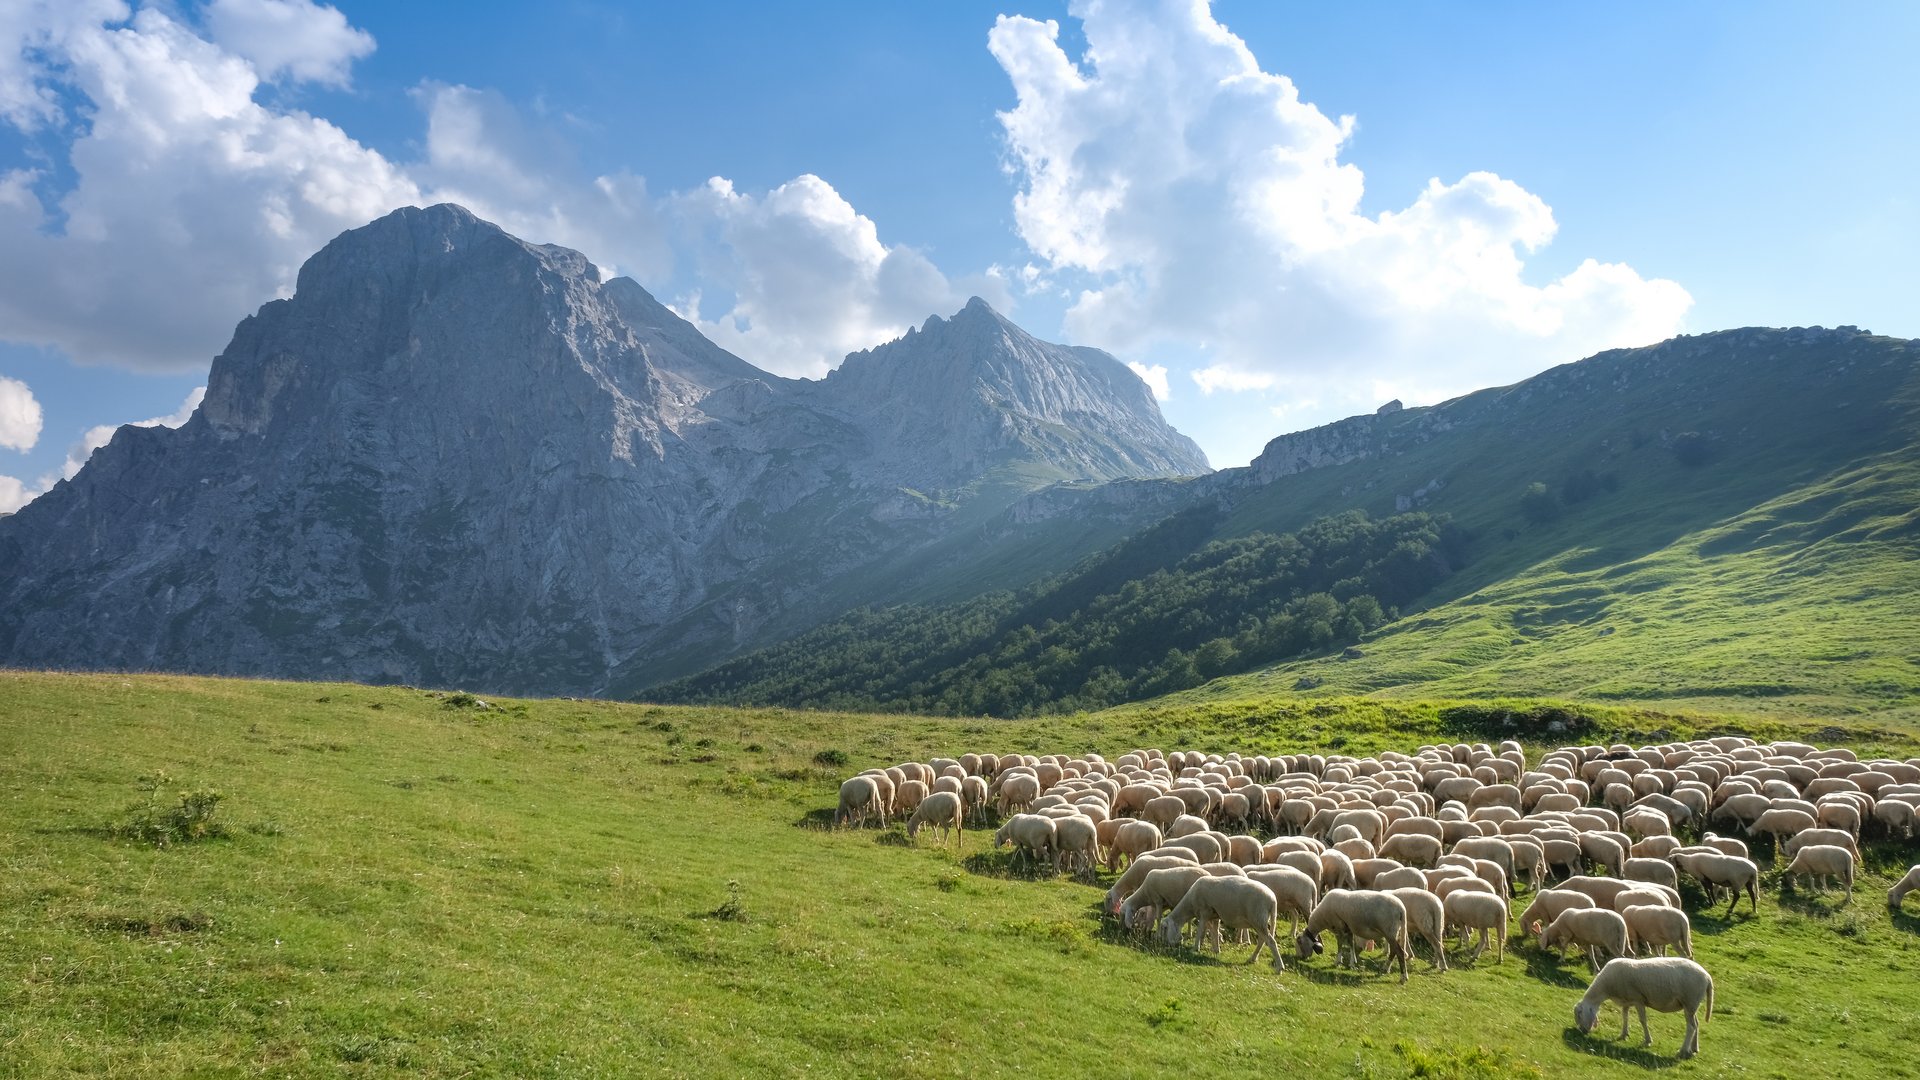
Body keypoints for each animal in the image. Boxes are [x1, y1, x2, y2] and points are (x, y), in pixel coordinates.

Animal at [1152, 876, 1290, 968]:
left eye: (1164, 929)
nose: (1165, 944)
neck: (1190, 903)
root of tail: (1272, 900)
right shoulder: (1214, 915)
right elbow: (1214, 931)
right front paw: (1216, 949)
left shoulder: (1204, 911)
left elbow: (1200, 931)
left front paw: (1195, 948)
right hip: (1259, 920)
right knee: (1262, 940)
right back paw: (1252, 959)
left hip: (1258, 918)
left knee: (1270, 941)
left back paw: (1280, 967)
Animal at [1574, 953, 1712, 1053]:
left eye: (1579, 1014)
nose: (1581, 1031)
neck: (1606, 987)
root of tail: (1707, 976)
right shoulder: (1626, 1001)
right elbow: (1624, 1017)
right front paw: (1623, 1034)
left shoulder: (1638, 1000)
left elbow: (1642, 1020)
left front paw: (1648, 1040)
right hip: (1692, 1004)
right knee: (1696, 1024)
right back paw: (1694, 1048)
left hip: (1689, 1001)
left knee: (1691, 1026)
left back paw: (1683, 1050)